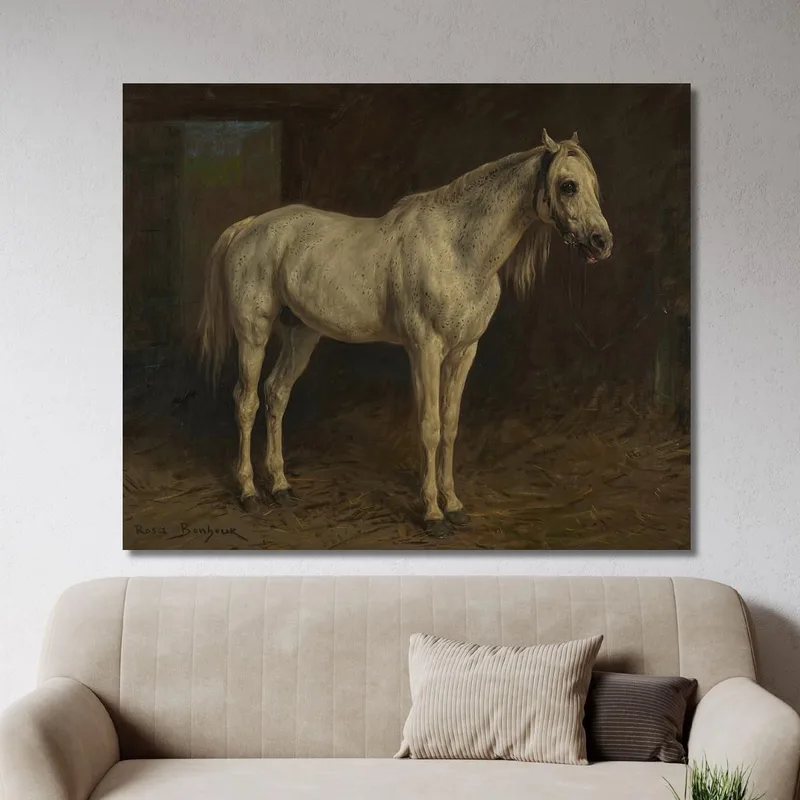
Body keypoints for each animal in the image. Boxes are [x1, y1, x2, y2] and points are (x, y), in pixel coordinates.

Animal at [198, 129, 612, 537]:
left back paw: (281, 486)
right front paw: (432, 514)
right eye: (568, 185)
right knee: (247, 401)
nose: (602, 242)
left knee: (276, 394)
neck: (458, 250)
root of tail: (249, 226)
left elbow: (451, 426)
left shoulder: (464, 352)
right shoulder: (425, 350)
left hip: (303, 335)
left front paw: (454, 505)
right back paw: (250, 492)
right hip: (253, 334)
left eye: (594, 184)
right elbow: (430, 427)